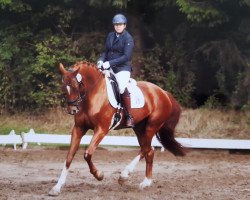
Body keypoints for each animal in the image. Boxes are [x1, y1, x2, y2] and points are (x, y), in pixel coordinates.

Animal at [49, 61, 186, 195]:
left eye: (76, 86)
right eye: (64, 87)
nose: (72, 110)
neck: (93, 94)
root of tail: (164, 93)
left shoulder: (101, 129)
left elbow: (87, 154)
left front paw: (99, 175)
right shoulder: (78, 129)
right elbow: (69, 157)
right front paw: (57, 188)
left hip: (152, 126)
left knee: (147, 149)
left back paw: (130, 177)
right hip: (139, 128)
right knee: (148, 150)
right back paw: (140, 180)